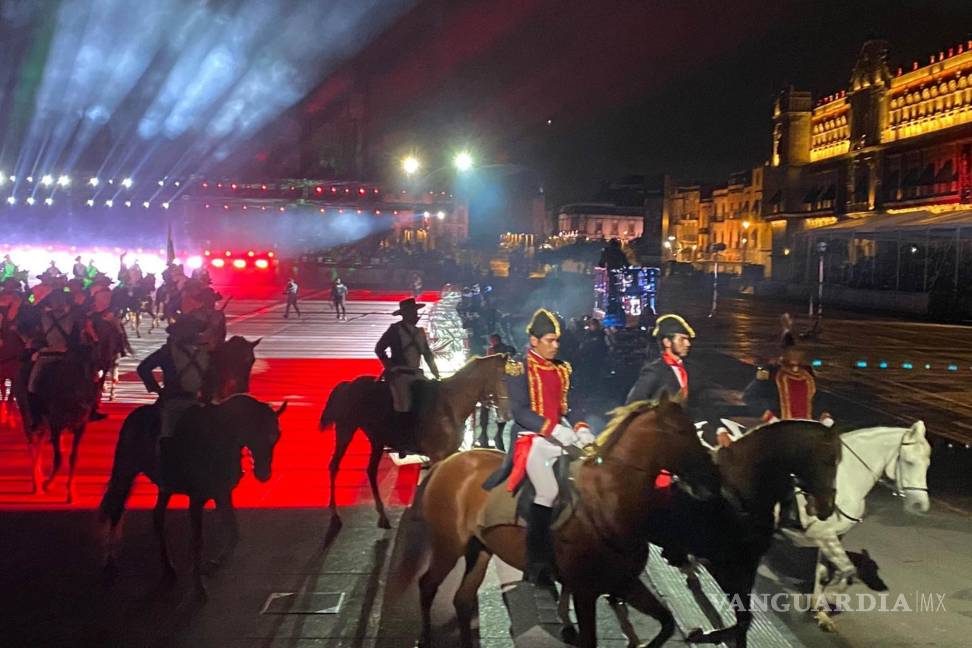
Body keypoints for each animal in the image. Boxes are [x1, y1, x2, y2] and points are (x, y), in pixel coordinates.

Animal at [98, 336, 274, 596]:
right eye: (236, 359)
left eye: (251, 360)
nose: (244, 388)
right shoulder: (198, 496)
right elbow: (197, 540)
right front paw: (199, 586)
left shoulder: (221, 492)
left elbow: (231, 532)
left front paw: (210, 567)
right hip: (125, 469)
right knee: (116, 507)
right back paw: (110, 561)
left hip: (164, 485)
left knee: (157, 518)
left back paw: (169, 569)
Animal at [320, 354, 516, 528]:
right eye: (503, 378)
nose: (507, 413)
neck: (450, 405)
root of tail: (348, 385)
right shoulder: (436, 456)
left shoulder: (448, 454)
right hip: (345, 430)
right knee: (334, 466)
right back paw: (335, 513)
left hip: (376, 440)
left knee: (371, 470)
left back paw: (382, 516)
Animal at [410, 394, 720, 648]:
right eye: (682, 431)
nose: (712, 480)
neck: (607, 503)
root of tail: (447, 462)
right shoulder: (585, 592)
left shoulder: (625, 583)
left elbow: (666, 623)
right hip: (448, 546)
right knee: (427, 585)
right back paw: (423, 638)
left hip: (480, 548)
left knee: (462, 599)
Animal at [608, 420, 844, 648]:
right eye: (828, 461)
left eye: (837, 462)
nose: (827, 508)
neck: (742, 492)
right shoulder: (724, 565)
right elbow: (743, 620)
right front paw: (704, 634)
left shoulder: (747, 566)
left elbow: (744, 621)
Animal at [788, 422, 936, 632]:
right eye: (909, 462)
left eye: (927, 465)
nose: (920, 505)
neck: (844, 479)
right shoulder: (821, 533)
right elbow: (848, 571)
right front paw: (831, 597)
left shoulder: (832, 536)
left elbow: (825, 573)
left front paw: (821, 612)